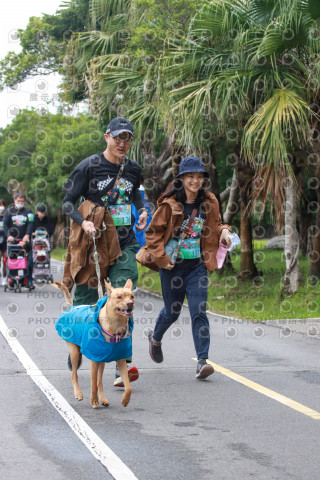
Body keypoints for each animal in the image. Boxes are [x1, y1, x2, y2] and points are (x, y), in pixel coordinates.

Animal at [54, 278, 134, 408]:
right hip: (75, 353)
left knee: (99, 381)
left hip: (101, 361)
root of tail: (71, 308)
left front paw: (125, 400)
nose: (130, 303)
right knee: (74, 374)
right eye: (119, 297)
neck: (115, 328)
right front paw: (94, 400)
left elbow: (128, 386)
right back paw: (78, 393)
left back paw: (103, 399)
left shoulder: (120, 360)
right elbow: (93, 384)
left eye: (132, 296)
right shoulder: (94, 361)